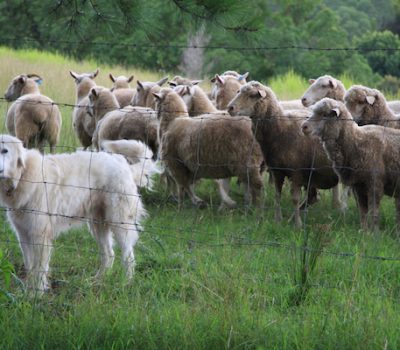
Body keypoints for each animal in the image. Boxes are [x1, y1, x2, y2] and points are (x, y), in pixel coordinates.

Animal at [0, 135, 148, 294]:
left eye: (5, 150)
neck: (22, 176)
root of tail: (124, 164)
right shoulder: (23, 235)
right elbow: (30, 267)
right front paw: (27, 292)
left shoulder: (40, 235)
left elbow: (39, 269)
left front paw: (36, 294)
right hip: (98, 225)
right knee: (109, 254)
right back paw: (97, 281)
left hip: (119, 222)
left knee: (128, 255)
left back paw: (126, 284)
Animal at [227, 81, 340, 228]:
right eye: (238, 91)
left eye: (252, 95)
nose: (230, 108)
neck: (281, 128)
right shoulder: (277, 171)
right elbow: (277, 195)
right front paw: (278, 220)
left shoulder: (297, 171)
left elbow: (295, 198)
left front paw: (298, 225)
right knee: (313, 197)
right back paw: (290, 218)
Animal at [302, 97, 400, 231]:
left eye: (325, 114)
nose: (304, 126)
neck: (357, 141)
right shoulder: (358, 186)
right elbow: (363, 212)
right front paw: (364, 232)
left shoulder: (375, 184)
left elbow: (374, 213)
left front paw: (375, 232)